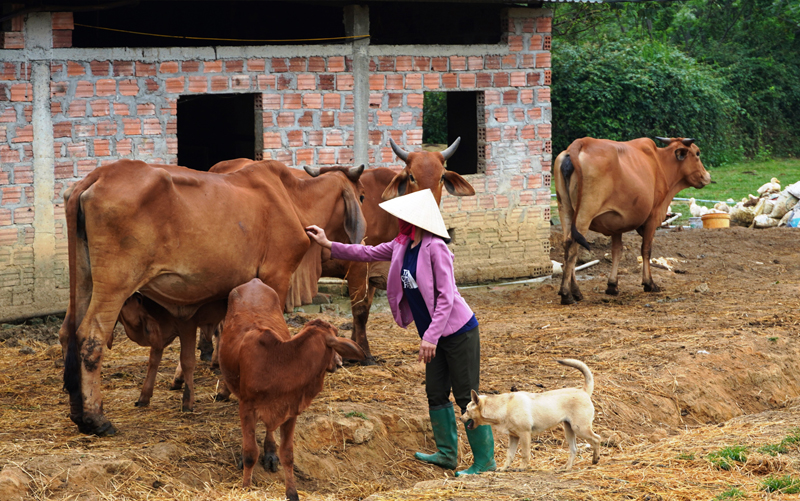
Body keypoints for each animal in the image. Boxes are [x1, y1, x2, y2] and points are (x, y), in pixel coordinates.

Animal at [61, 159, 368, 434]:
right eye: (363, 195)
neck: (293, 198)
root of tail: (97, 176)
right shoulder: (277, 277)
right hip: (116, 284)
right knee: (90, 338)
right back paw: (96, 419)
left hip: (83, 280)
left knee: (68, 332)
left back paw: (77, 413)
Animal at [217, 278, 364, 500]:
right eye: (336, 338)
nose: (339, 362)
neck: (278, 364)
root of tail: (254, 281)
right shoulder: (247, 408)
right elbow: (250, 453)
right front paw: (245, 487)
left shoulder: (290, 410)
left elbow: (288, 455)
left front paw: (292, 493)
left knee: (270, 431)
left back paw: (270, 453)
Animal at [460, 360, 596, 468]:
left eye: (466, 410)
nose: (460, 418)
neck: (504, 407)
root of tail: (583, 391)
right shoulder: (513, 437)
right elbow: (510, 455)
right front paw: (503, 468)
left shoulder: (524, 434)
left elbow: (525, 454)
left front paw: (522, 468)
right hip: (569, 430)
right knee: (574, 449)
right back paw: (566, 468)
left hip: (580, 429)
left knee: (597, 439)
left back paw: (595, 459)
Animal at [552, 135, 708, 304]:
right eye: (697, 153)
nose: (707, 176)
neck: (660, 164)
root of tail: (581, 143)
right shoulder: (652, 217)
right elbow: (646, 250)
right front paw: (649, 283)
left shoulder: (616, 222)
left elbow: (617, 251)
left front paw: (612, 285)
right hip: (585, 212)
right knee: (573, 246)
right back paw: (566, 294)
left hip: (565, 209)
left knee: (567, 244)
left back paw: (576, 292)